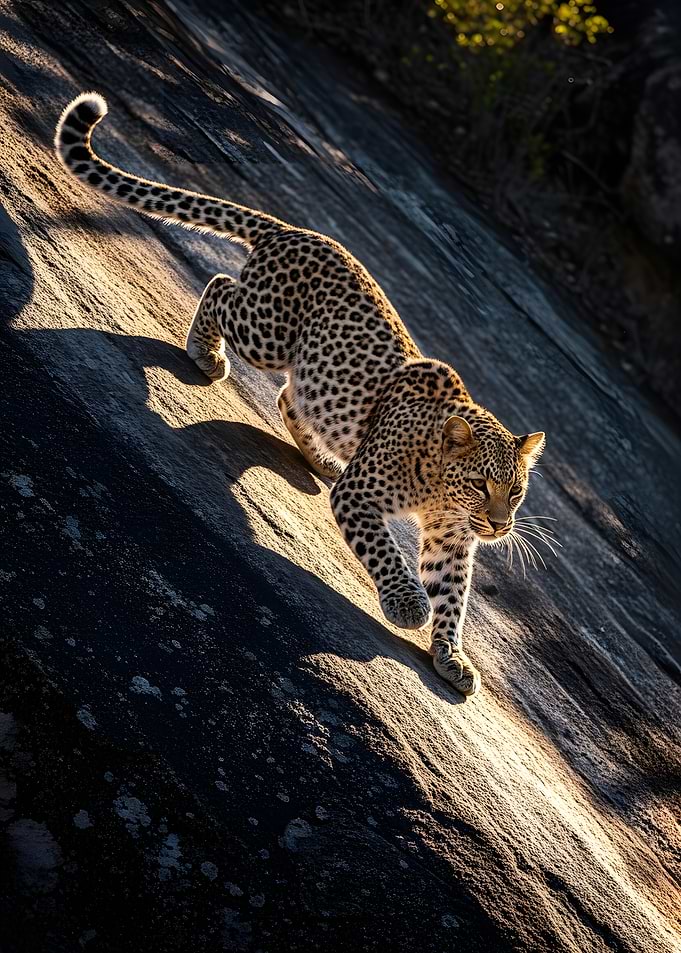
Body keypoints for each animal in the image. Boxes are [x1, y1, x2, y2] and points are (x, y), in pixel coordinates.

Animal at [55, 92, 546, 697]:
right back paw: (207, 355)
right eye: (481, 485)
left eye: (516, 491)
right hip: (265, 330)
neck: (437, 490)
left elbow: (453, 595)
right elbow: (385, 551)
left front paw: (451, 655)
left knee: (291, 397)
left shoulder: (452, 540)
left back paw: (319, 459)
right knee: (221, 288)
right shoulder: (363, 497)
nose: (500, 526)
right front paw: (407, 604)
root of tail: (295, 231)